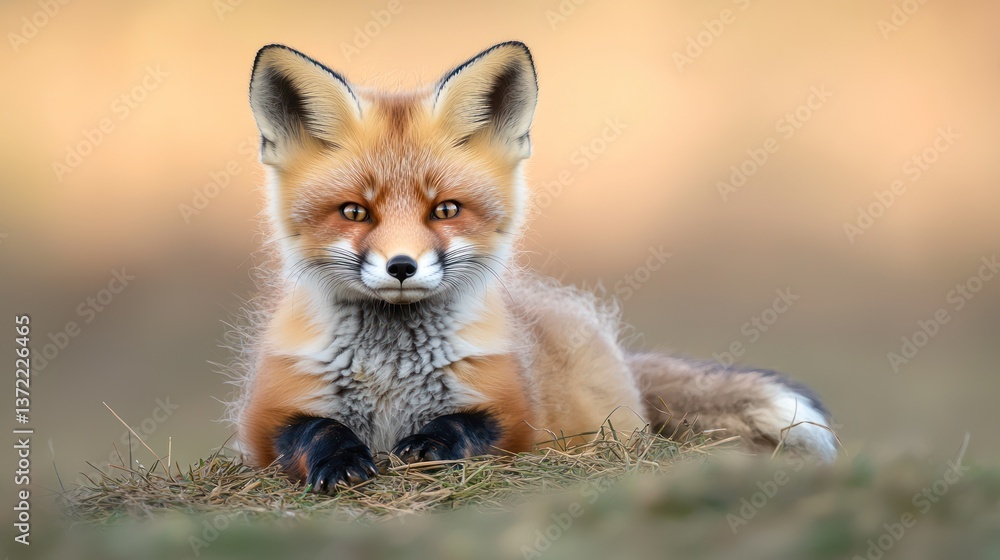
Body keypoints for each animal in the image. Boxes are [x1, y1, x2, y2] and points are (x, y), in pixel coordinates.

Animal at [231, 41, 838, 492]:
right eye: (355, 212)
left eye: (445, 209)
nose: (401, 267)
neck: (391, 377)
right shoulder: (265, 418)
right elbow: (314, 431)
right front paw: (341, 458)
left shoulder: (515, 412)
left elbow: (467, 425)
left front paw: (429, 444)